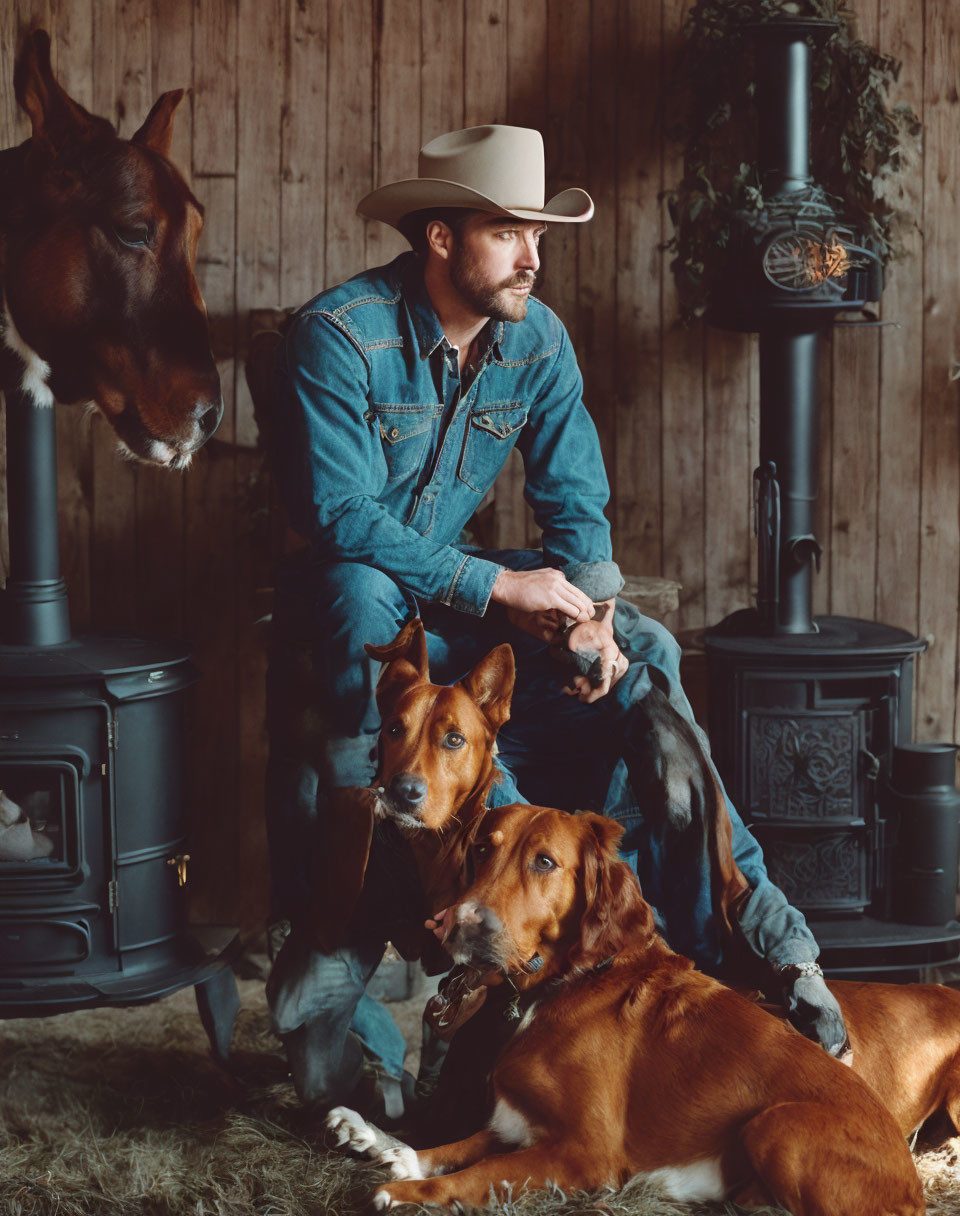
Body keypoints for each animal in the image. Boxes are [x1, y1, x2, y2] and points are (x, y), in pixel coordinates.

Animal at [328, 797, 919, 1216]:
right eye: (480, 851)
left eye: (545, 862)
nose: (457, 925)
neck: (559, 986)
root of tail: (914, 1183)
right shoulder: (514, 1122)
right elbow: (453, 1147)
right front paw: (389, 1150)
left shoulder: (584, 1151)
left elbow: (478, 1172)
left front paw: (405, 1193)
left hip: (776, 1124)